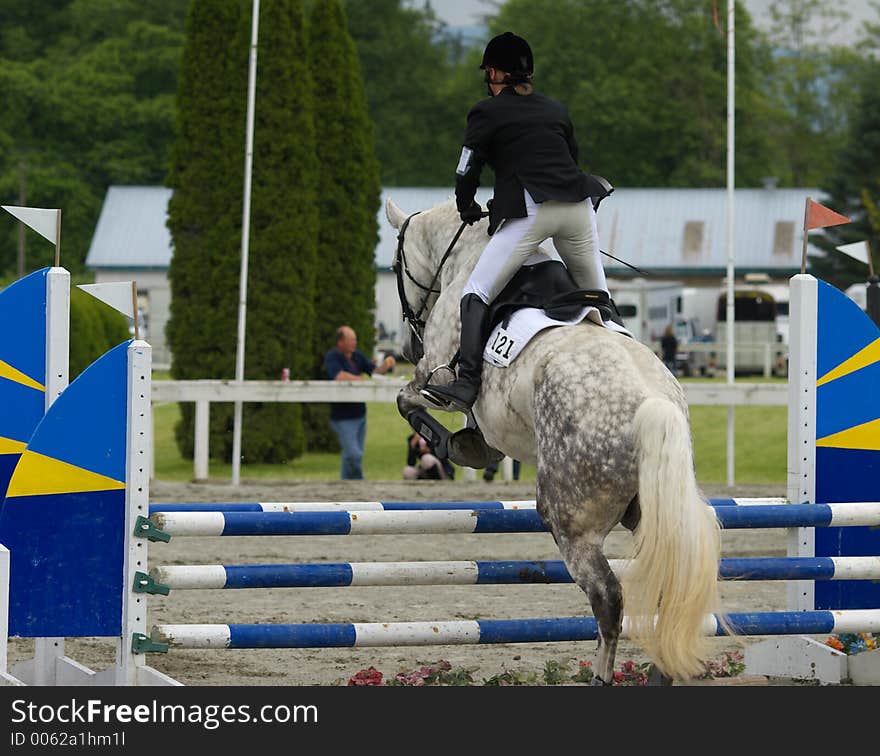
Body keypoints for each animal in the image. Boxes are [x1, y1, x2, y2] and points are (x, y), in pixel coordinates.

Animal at [386, 196, 728, 684]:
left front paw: (456, 445)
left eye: (395, 266)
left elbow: (409, 400)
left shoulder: (436, 378)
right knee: (668, 583)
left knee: (608, 597)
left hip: (571, 521)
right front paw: (473, 444)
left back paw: (601, 676)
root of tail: (651, 404)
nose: (405, 347)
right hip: (656, 510)